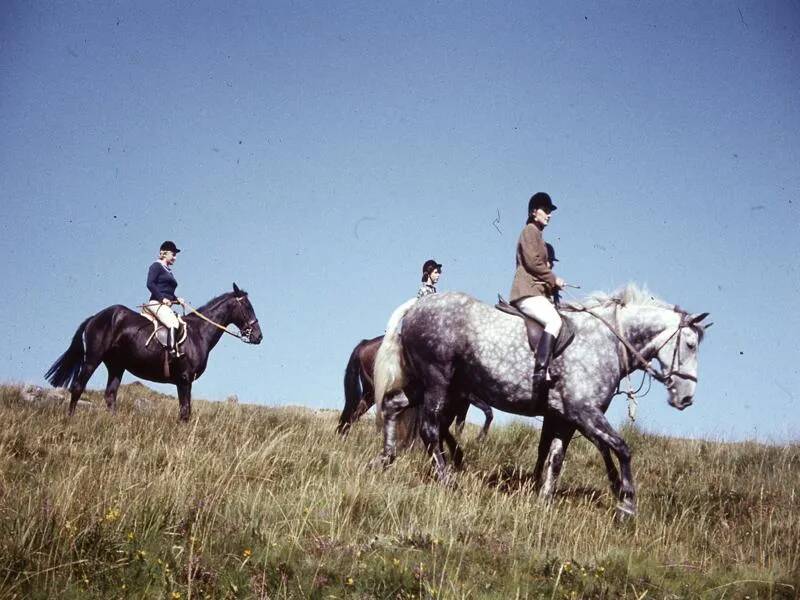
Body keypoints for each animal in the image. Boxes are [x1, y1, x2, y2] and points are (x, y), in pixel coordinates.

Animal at [45, 284, 262, 422]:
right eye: (247, 306)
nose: (258, 336)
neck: (199, 333)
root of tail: (95, 317)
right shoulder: (184, 379)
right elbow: (185, 411)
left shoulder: (185, 381)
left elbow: (186, 411)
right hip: (92, 359)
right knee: (78, 387)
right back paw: (71, 419)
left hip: (116, 366)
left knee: (110, 395)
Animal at [338, 332, 494, 436]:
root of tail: (365, 343)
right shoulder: (468, 396)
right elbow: (487, 412)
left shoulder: (462, 402)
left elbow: (459, 424)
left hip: (370, 392)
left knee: (355, 414)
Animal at [372, 284, 708, 516]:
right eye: (690, 344)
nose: (687, 398)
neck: (607, 341)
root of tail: (418, 305)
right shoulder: (583, 412)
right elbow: (622, 448)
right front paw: (627, 505)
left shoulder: (565, 418)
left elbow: (556, 457)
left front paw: (545, 499)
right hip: (438, 381)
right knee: (429, 429)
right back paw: (446, 480)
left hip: (425, 384)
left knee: (391, 406)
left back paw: (385, 459)